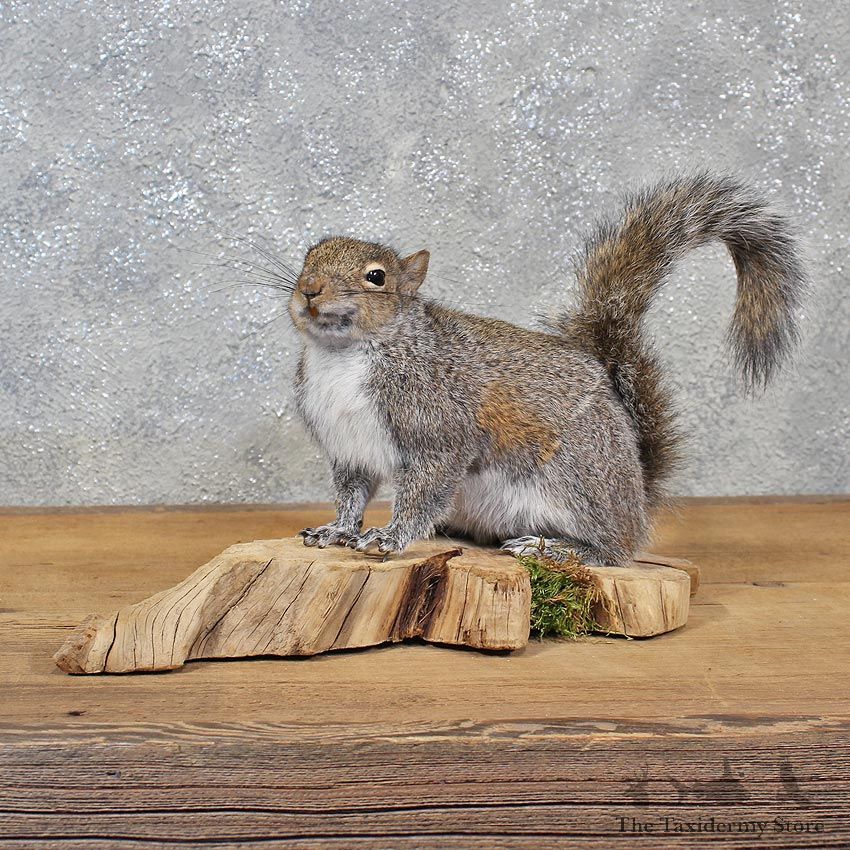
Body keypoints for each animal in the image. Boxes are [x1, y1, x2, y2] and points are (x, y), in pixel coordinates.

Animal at [289, 173, 806, 565]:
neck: (344, 356)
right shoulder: (349, 447)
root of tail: (638, 494)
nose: (309, 288)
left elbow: (426, 487)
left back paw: (557, 548)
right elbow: (353, 494)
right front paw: (337, 530)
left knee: (617, 550)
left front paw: (390, 537)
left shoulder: (439, 427)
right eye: (308, 257)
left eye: (376, 277)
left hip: (576, 483)